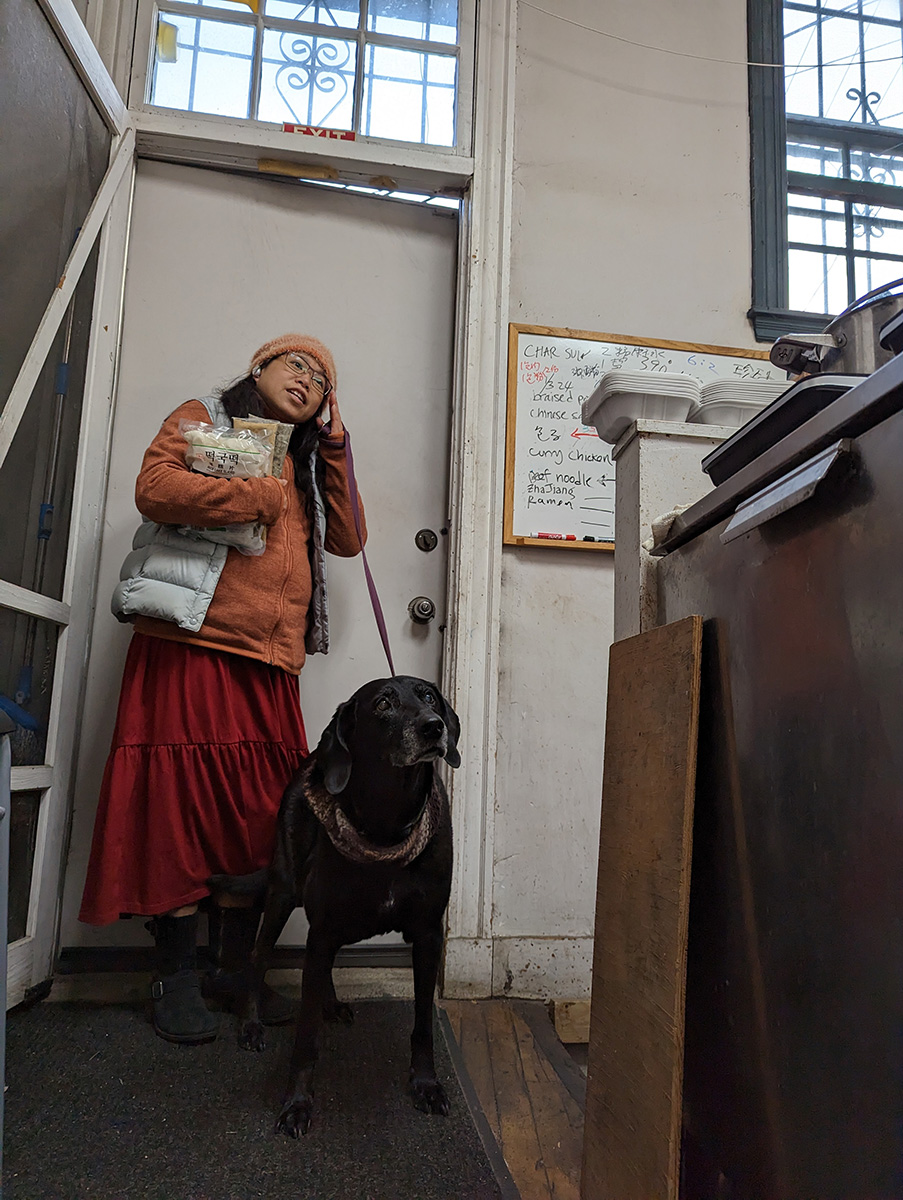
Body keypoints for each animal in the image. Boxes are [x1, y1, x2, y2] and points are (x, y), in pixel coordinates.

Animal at [215, 675, 460, 1138]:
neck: (387, 822)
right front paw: (296, 1103)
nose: (433, 727)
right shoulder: (325, 927)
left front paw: (425, 1084)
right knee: (259, 956)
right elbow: (306, 1035)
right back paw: (251, 1024)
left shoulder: (428, 934)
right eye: (382, 703)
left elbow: (422, 1023)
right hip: (283, 891)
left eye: (429, 697)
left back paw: (329, 1003)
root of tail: (313, 760)